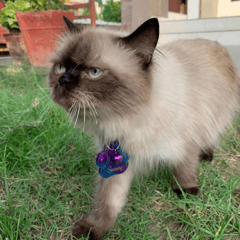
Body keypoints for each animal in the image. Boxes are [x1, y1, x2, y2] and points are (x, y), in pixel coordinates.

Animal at [48, 15, 240, 239]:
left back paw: (207, 155)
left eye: (94, 72)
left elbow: (185, 168)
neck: (128, 119)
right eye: (60, 68)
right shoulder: (119, 163)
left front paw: (186, 191)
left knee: (210, 136)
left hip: (217, 115)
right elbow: (109, 202)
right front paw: (94, 230)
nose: (63, 79)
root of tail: (216, 42)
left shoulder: (187, 142)